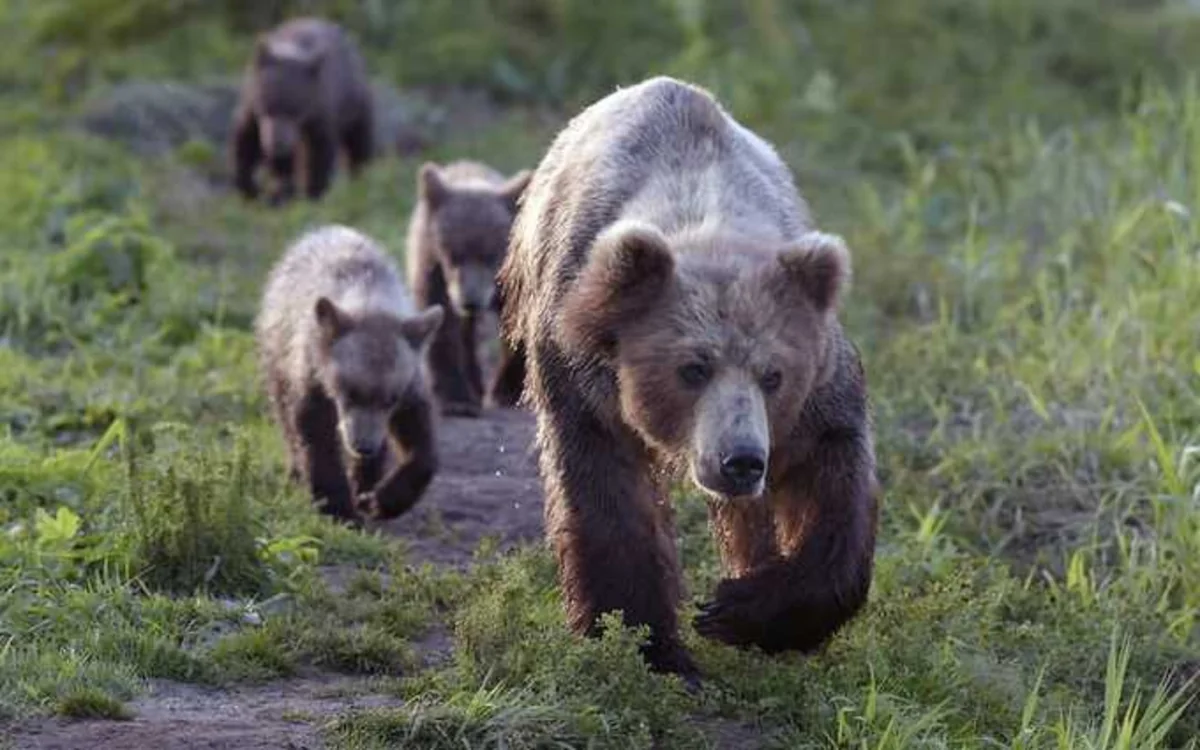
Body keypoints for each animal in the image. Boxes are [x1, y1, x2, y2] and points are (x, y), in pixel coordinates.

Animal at [230, 17, 375, 206]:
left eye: (295, 111)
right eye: (267, 107)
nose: (278, 142)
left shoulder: (319, 111)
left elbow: (317, 152)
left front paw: (313, 193)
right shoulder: (252, 107)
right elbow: (246, 141)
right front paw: (249, 188)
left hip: (356, 104)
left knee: (359, 144)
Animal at [256, 224, 443, 523]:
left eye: (391, 398)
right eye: (350, 391)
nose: (363, 445)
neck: (370, 296)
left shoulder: (411, 379)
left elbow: (419, 434)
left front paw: (382, 499)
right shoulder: (312, 370)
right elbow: (315, 432)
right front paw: (338, 506)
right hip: (276, 348)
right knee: (283, 411)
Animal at [405, 160, 532, 417]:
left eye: (490, 254)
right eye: (453, 255)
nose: (470, 300)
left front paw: (506, 391)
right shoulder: (433, 269)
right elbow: (443, 329)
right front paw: (456, 400)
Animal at [498, 76, 880, 683]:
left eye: (774, 374)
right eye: (692, 368)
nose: (741, 460)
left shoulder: (817, 396)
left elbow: (835, 487)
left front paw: (738, 609)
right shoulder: (582, 377)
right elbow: (606, 498)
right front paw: (650, 647)